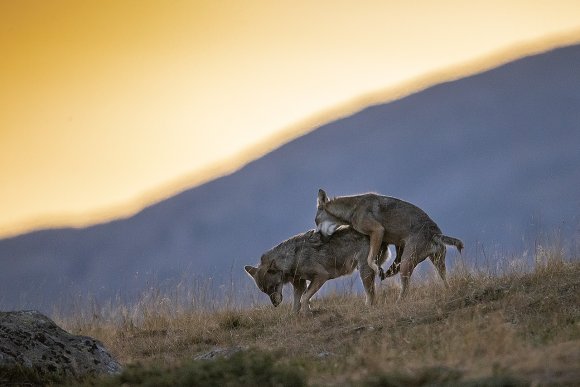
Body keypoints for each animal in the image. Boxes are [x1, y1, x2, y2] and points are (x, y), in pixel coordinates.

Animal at [242, 229, 392, 314]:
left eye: (274, 287)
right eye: (265, 291)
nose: (275, 304)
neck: (293, 257)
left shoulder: (321, 276)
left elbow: (304, 298)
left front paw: (306, 313)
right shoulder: (299, 284)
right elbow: (297, 302)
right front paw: (295, 315)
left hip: (363, 271)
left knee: (371, 294)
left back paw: (367, 307)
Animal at [314, 189, 464, 302]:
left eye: (316, 221)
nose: (319, 238)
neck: (352, 210)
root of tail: (434, 233)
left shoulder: (378, 231)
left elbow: (370, 259)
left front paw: (378, 269)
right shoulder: (391, 242)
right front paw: (383, 270)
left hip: (406, 264)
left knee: (405, 289)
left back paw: (398, 302)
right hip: (437, 263)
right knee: (444, 280)